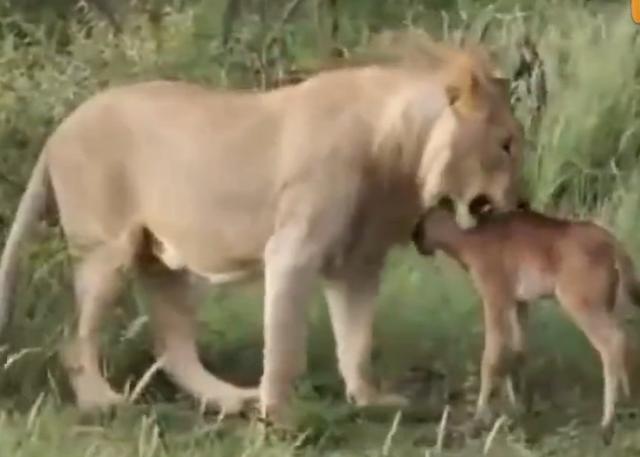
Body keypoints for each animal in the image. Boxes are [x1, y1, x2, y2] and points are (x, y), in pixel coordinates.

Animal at [0, 33, 524, 426]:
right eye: (506, 144)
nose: (521, 204)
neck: (402, 155)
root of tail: (60, 128)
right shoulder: (293, 250)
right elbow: (286, 343)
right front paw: (281, 416)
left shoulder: (358, 263)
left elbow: (356, 340)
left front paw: (369, 400)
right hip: (106, 251)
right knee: (75, 342)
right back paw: (101, 403)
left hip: (167, 264)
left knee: (172, 347)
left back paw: (230, 398)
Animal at [412, 202, 636, 442]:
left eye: (424, 216)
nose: (415, 238)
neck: (471, 238)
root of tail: (613, 243)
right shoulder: (519, 304)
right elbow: (518, 352)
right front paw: (519, 408)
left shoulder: (495, 299)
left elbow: (490, 358)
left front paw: (479, 419)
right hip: (605, 305)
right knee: (623, 337)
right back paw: (626, 398)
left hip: (581, 305)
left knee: (612, 342)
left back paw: (607, 424)